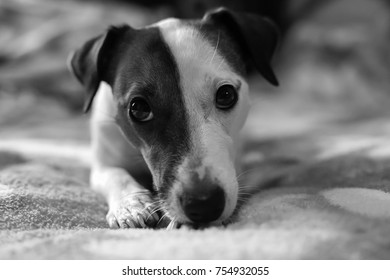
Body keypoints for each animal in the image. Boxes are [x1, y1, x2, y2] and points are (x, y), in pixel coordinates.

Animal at [68, 7, 278, 230]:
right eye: (139, 108)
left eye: (226, 95)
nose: (204, 204)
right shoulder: (103, 163)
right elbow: (116, 176)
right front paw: (132, 205)